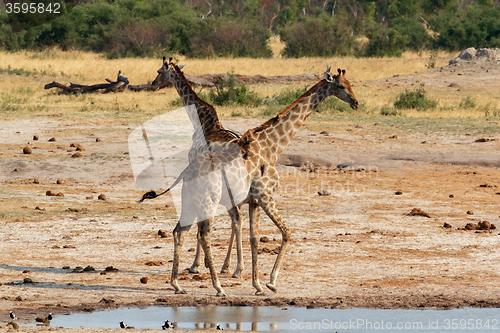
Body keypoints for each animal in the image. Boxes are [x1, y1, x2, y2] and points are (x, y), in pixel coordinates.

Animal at [149, 58, 243, 276]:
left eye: (159, 71)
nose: (152, 85)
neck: (201, 121)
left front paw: (197, 264)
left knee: (235, 218)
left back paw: (233, 267)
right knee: (237, 219)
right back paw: (230, 266)